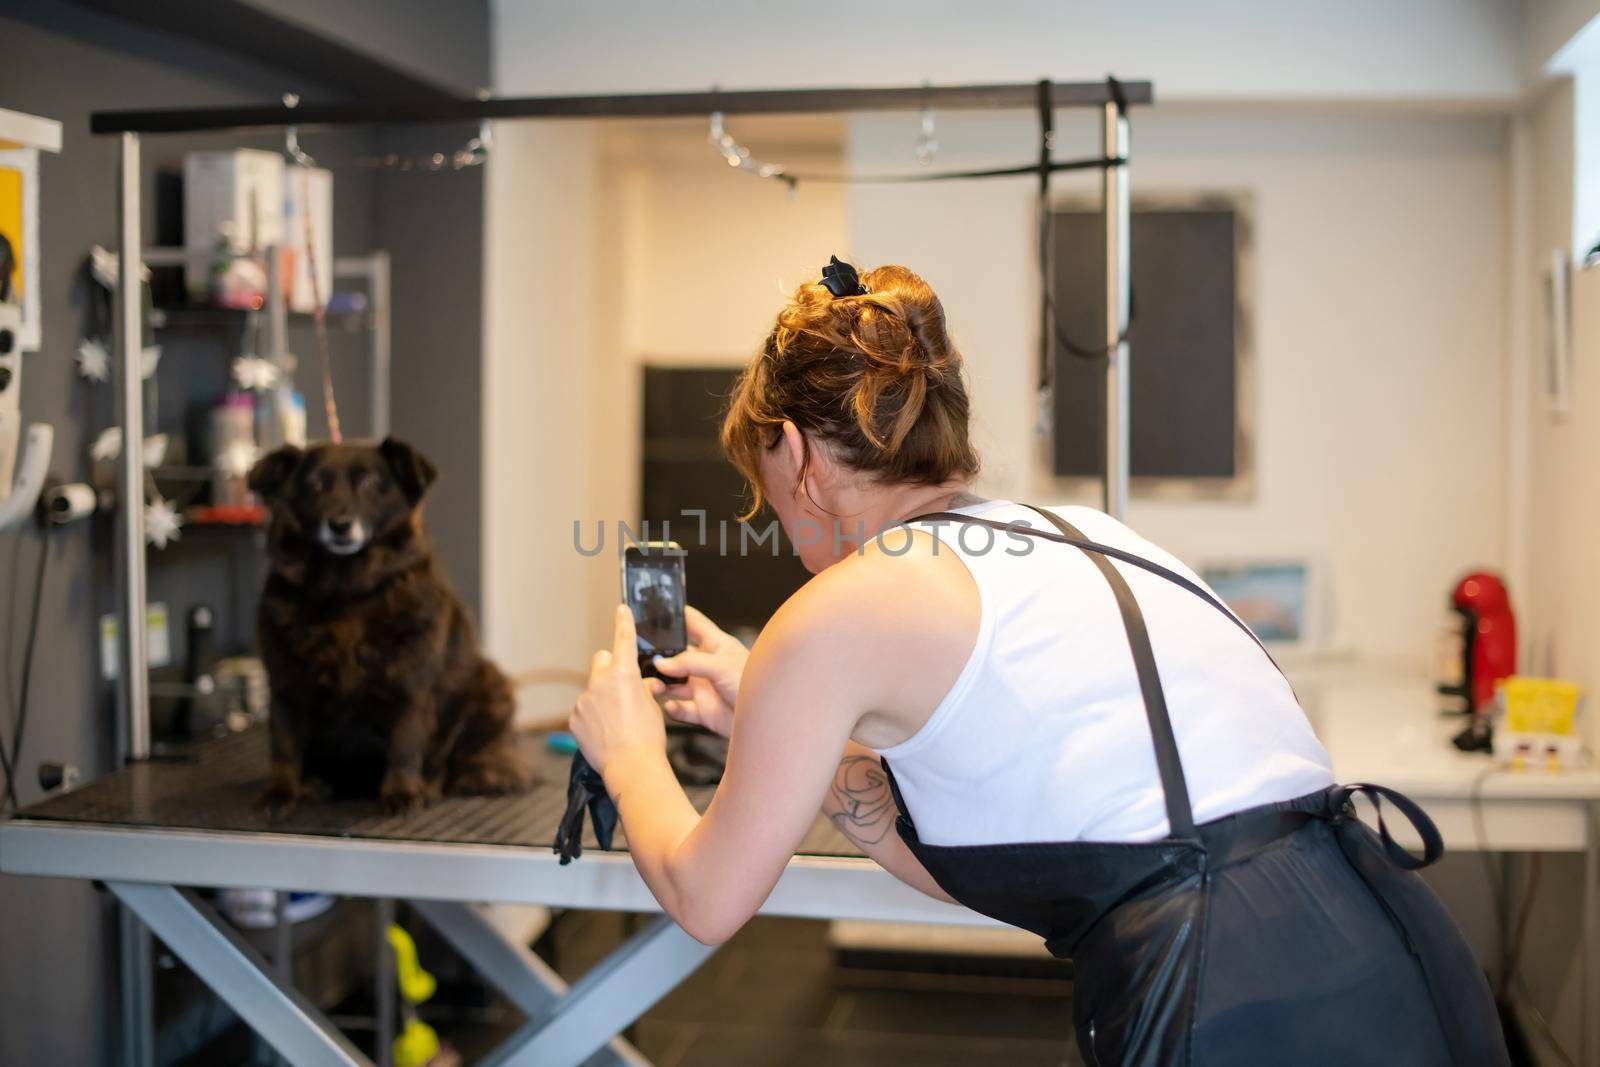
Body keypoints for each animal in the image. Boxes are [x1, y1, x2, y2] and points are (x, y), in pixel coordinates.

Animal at [244, 435, 531, 819]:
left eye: (369, 482)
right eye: (315, 483)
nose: (340, 524)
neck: (347, 592)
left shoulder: (410, 681)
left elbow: (404, 745)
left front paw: (402, 793)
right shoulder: (287, 683)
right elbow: (285, 746)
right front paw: (280, 792)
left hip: (491, 687)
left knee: (459, 763)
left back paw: (437, 784)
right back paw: (315, 784)